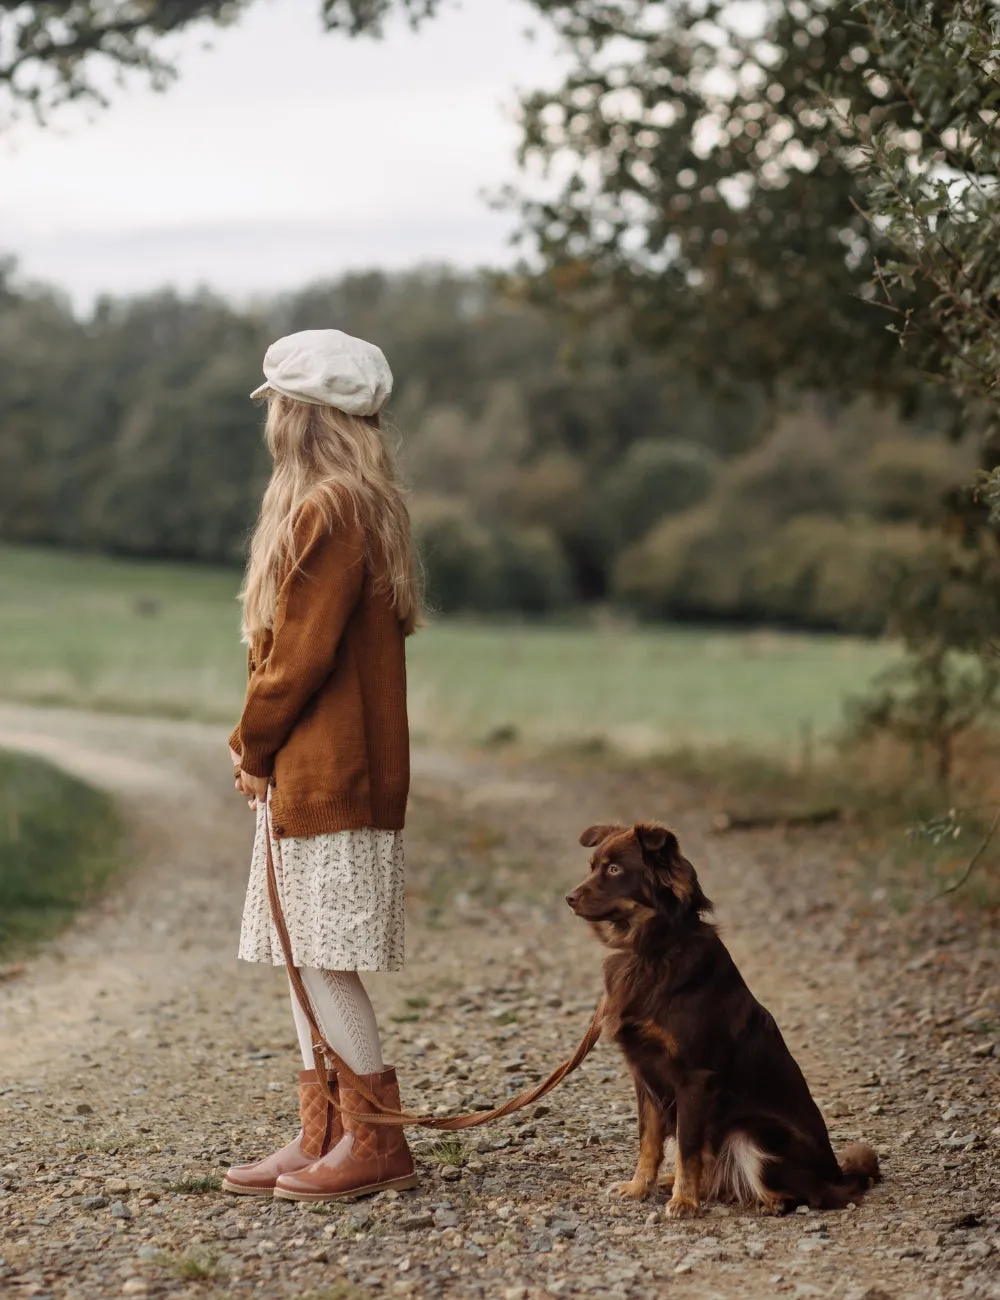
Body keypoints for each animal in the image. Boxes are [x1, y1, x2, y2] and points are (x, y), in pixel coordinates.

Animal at [566, 821, 879, 1216]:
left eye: (614, 869)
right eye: (592, 866)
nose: (568, 898)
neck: (653, 949)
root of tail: (837, 1172)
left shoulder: (694, 1079)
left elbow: (687, 1147)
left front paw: (684, 1200)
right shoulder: (645, 1076)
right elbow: (649, 1141)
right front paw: (639, 1187)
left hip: (753, 1132)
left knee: (816, 1193)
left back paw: (768, 1202)